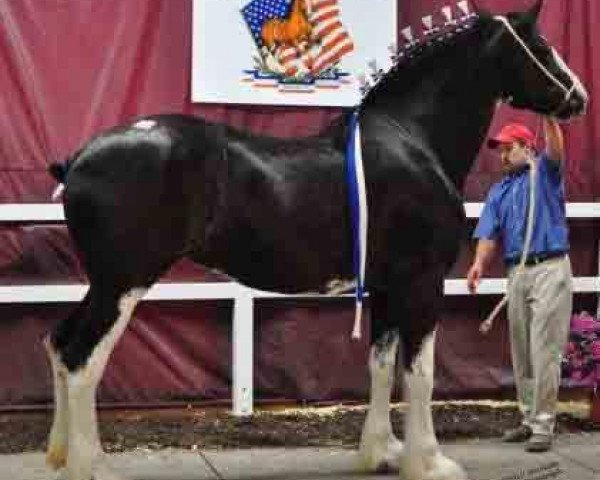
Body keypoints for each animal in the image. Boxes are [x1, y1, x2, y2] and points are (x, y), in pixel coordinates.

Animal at [42, 1, 584, 478]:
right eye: (540, 45)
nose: (578, 96)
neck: (412, 139)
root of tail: (80, 158)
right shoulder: (422, 283)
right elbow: (421, 374)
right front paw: (429, 462)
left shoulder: (385, 285)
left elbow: (381, 366)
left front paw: (382, 453)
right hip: (123, 284)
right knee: (82, 359)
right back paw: (92, 468)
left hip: (103, 284)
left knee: (60, 343)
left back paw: (62, 457)